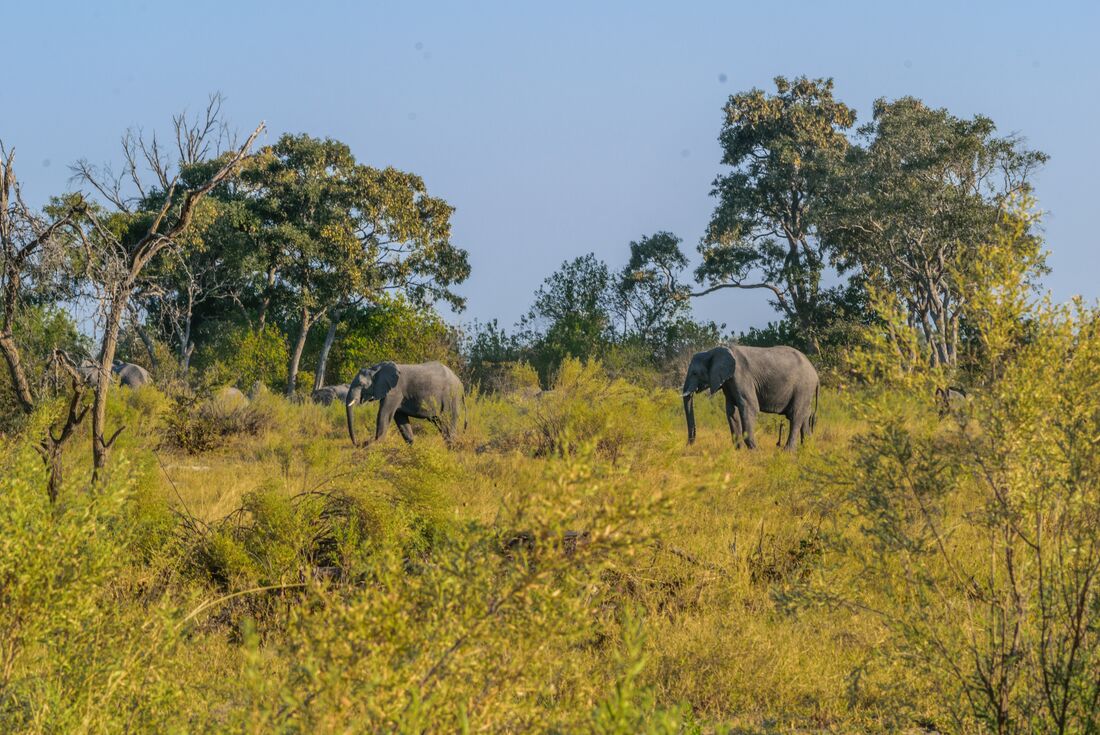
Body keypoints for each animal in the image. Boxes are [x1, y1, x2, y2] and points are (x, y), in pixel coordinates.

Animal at [677, 343, 818, 451]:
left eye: (695, 373)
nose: (688, 445)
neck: (712, 351)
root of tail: (815, 373)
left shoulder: (741, 376)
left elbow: (750, 407)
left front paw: (755, 451)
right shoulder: (728, 382)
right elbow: (731, 411)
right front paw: (738, 451)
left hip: (803, 387)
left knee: (795, 415)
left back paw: (787, 452)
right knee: (805, 416)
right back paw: (807, 449)